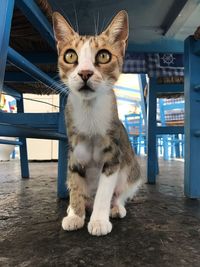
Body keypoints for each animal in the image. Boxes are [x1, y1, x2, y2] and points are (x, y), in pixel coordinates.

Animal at [52, 9, 141, 237]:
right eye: (70, 55)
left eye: (103, 55)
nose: (85, 73)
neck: (89, 112)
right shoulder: (74, 152)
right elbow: (75, 183)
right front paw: (75, 215)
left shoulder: (113, 154)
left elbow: (104, 191)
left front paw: (99, 221)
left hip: (133, 171)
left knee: (120, 192)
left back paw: (115, 207)